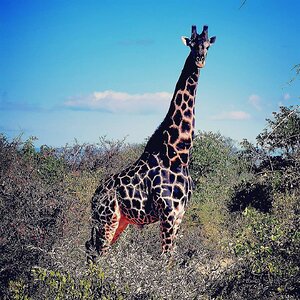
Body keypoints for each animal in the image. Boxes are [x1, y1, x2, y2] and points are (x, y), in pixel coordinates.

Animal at [85, 24, 214, 262]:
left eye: (208, 44)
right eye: (192, 44)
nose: (200, 59)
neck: (178, 153)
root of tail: (94, 196)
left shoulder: (180, 214)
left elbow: (171, 258)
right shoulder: (168, 213)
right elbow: (165, 259)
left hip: (119, 221)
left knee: (92, 249)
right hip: (107, 218)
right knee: (98, 253)